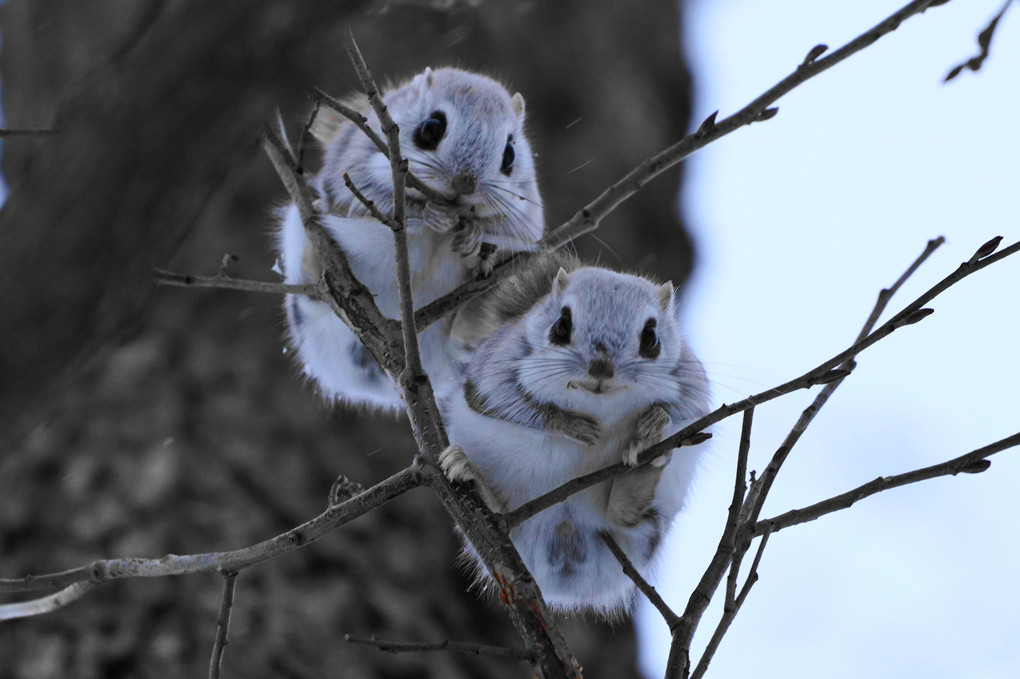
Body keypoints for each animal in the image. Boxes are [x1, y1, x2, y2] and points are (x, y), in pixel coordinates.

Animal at [275, 66, 546, 409]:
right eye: (431, 129)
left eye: (510, 155)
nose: (465, 184)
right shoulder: (355, 166)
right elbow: (372, 200)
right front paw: (431, 214)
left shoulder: (527, 211)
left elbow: (513, 228)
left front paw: (473, 234)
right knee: (311, 296)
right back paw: (316, 262)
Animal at [438, 250, 709, 615]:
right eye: (561, 327)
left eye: (652, 339)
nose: (601, 368)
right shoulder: (496, 367)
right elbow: (503, 401)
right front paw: (571, 425)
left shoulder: (690, 378)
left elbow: (690, 408)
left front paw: (653, 424)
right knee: (504, 517)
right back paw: (472, 475)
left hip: (656, 516)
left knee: (626, 517)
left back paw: (645, 460)